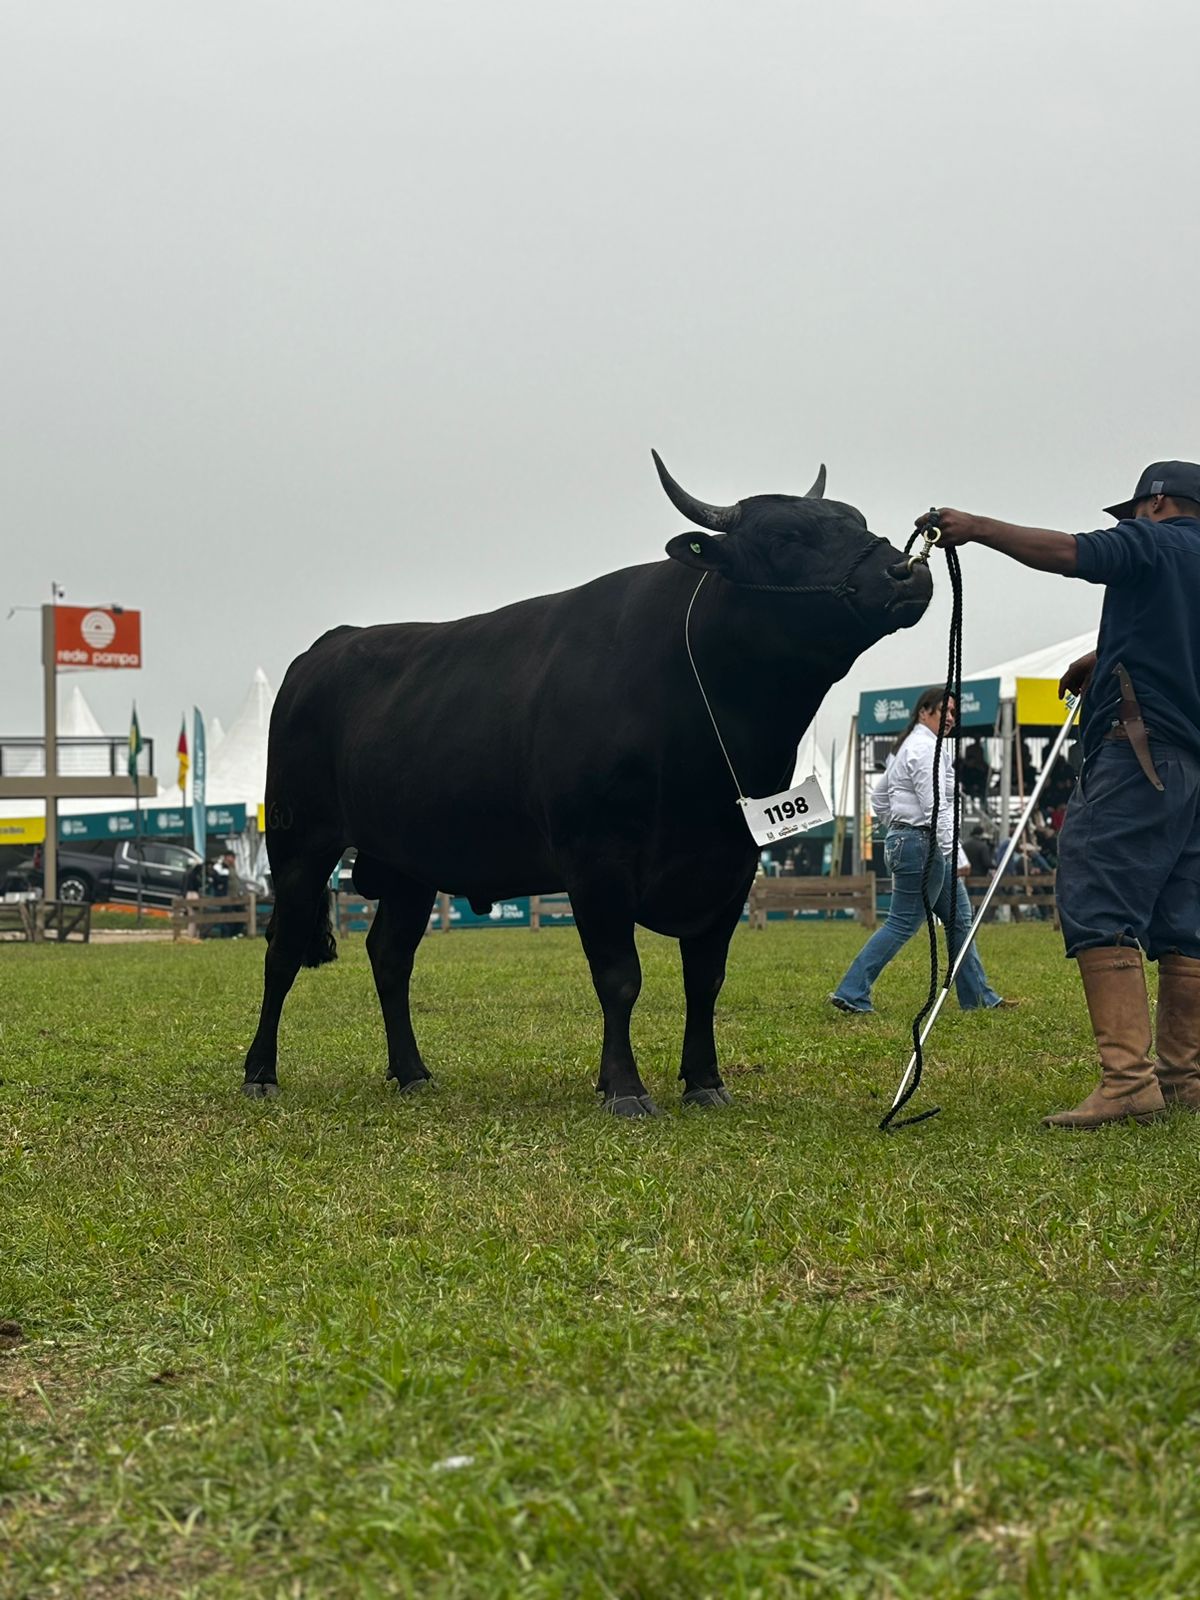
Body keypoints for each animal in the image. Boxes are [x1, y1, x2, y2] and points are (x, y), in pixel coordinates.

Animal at [244, 457, 934, 1113]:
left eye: (856, 519)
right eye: (784, 537)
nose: (906, 571)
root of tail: (330, 645)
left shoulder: (734, 864)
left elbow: (705, 979)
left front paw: (704, 1082)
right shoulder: (596, 860)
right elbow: (619, 976)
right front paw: (624, 1088)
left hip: (410, 863)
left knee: (390, 956)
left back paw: (412, 1073)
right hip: (300, 842)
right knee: (282, 949)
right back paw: (261, 1074)